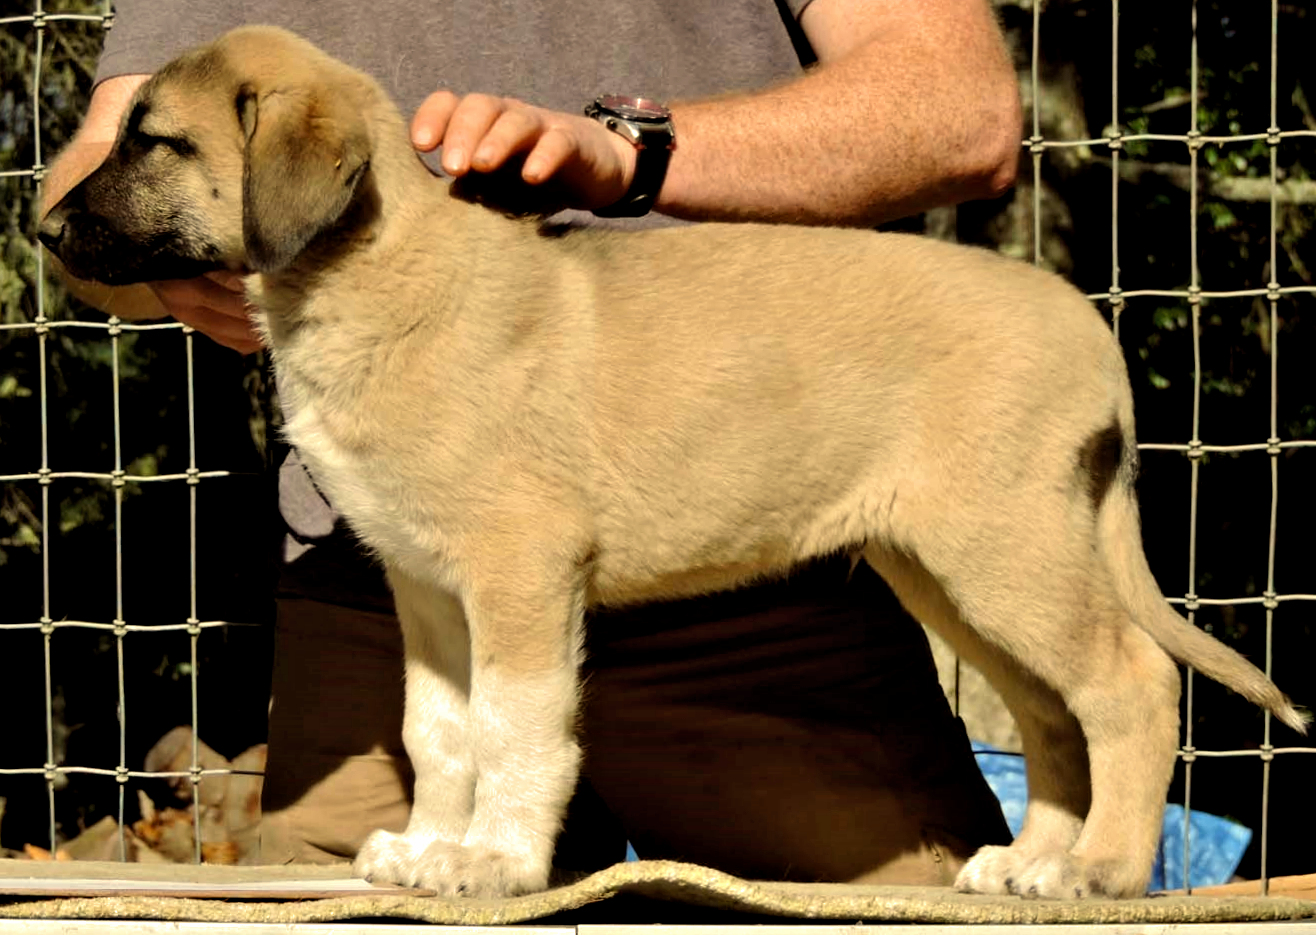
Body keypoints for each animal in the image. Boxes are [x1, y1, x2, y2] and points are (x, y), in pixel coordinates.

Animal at [41, 23, 1305, 900]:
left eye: (158, 142)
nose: (46, 229)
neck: (371, 278)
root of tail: (1083, 324)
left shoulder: (520, 570)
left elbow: (515, 727)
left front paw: (494, 860)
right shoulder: (426, 588)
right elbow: (440, 731)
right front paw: (433, 845)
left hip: (1004, 545)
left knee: (1128, 684)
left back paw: (1099, 868)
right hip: (952, 569)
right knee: (1049, 713)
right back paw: (1026, 862)